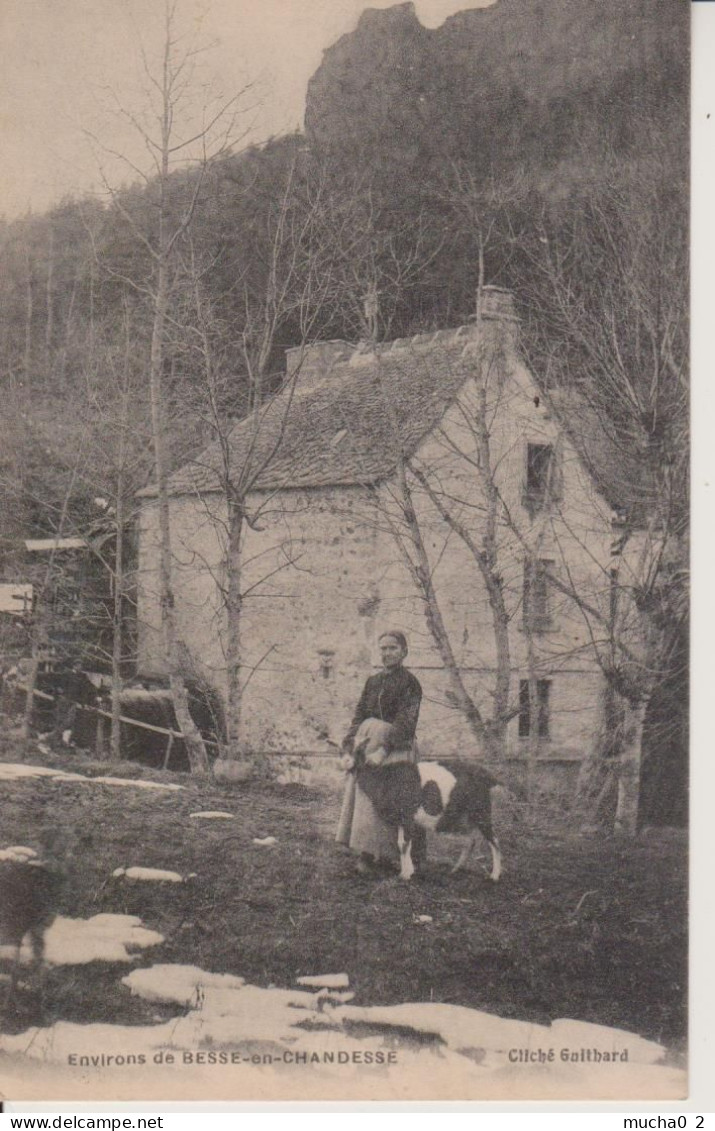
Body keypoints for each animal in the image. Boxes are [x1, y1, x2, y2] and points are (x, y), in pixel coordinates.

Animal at [352, 719, 502, 886]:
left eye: (355, 749)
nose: (345, 763)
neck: (384, 777)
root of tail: (488, 776)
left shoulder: (408, 816)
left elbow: (404, 844)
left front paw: (406, 874)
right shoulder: (401, 819)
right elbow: (400, 843)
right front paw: (405, 872)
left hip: (481, 812)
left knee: (494, 840)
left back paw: (494, 876)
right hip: (461, 819)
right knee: (471, 840)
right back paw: (455, 870)